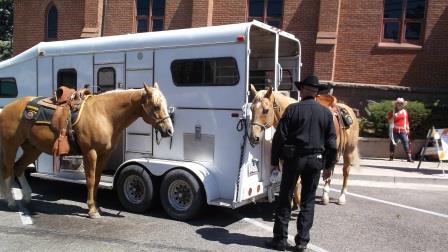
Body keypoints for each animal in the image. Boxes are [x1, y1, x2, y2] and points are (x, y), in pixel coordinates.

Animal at [0, 83, 173, 218]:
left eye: (165, 104)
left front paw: (97, 207)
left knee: (18, 168)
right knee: (8, 170)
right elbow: (90, 180)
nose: (169, 130)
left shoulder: (104, 155)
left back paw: (26, 198)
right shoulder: (90, 153)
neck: (104, 113)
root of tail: (6, 108)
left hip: (33, 148)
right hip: (10, 145)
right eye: (157, 106)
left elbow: (97, 180)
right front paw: (92, 210)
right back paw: (11, 202)